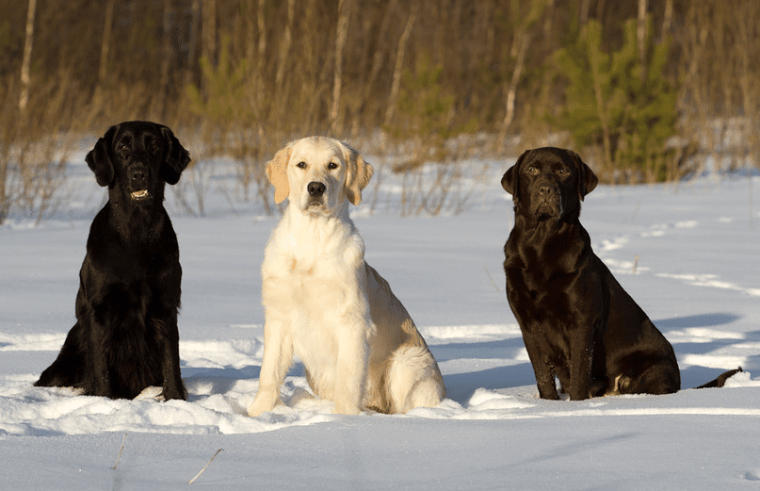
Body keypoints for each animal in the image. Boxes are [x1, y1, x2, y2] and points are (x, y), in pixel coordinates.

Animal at [34, 121, 191, 402]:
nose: (138, 173)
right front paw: (103, 401)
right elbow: (101, 366)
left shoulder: (166, 305)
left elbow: (170, 360)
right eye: (123, 147)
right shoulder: (100, 310)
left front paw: (175, 400)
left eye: (154, 146)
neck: (136, 234)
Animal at [249, 136, 446, 418]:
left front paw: (344, 418)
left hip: (407, 360)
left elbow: (349, 379)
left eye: (333, 165)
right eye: (301, 164)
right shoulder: (279, 318)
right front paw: (257, 413)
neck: (312, 237)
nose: (316, 188)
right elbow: (269, 374)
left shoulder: (353, 324)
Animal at [502, 148, 740, 402]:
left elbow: (578, 375)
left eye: (563, 171)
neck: (541, 244)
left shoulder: (581, 322)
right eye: (531, 169)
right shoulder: (528, 325)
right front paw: (549, 405)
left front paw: (574, 405)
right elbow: (543, 376)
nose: (546, 189)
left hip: (652, 368)